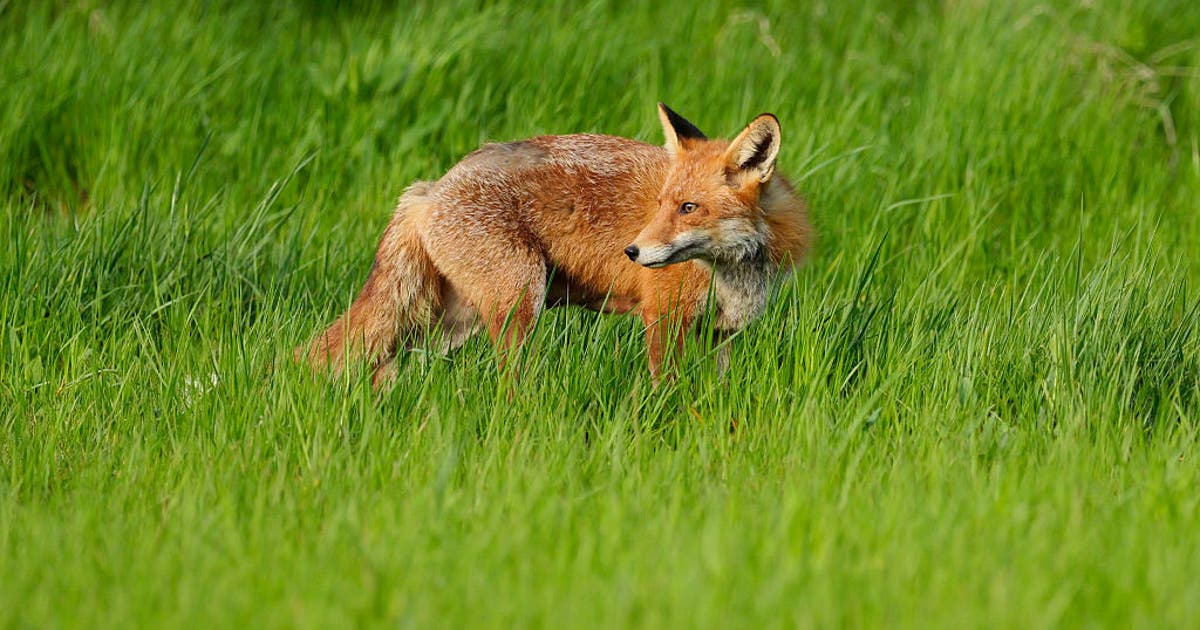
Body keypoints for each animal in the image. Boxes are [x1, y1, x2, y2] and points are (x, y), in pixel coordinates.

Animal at [298, 103, 812, 386]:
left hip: (450, 323)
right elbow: (666, 389)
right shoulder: (664, 317)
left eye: (689, 208)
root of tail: (432, 187)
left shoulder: (724, 334)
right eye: (661, 204)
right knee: (507, 385)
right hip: (518, 302)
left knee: (383, 367)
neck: (731, 272)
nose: (632, 252)